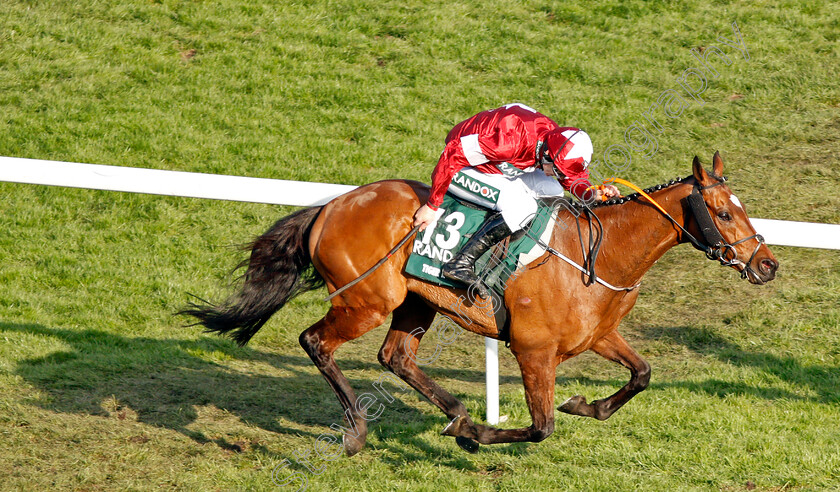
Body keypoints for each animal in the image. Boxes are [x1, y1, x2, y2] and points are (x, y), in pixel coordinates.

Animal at [184, 152, 780, 456]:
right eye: (724, 213)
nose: (767, 264)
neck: (599, 255)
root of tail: (331, 206)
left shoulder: (597, 335)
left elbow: (642, 374)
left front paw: (585, 405)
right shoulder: (533, 350)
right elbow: (540, 428)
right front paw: (487, 433)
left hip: (413, 304)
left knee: (395, 358)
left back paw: (457, 416)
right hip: (365, 300)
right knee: (316, 341)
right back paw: (359, 431)